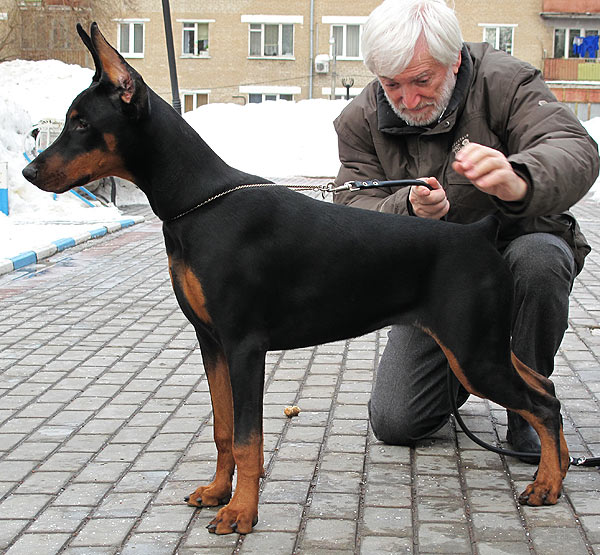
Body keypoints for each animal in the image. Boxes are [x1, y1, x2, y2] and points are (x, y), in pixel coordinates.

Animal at [22, 23, 569, 535]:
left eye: (82, 123)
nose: (28, 173)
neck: (196, 203)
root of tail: (479, 231)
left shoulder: (244, 344)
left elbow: (248, 438)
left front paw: (241, 513)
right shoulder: (210, 341)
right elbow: (224, 428)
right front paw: (217, 492)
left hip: (473, 353)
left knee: (542, 404)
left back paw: (545, 484)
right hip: (484, 345)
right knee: (544, 384)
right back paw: (558, 471)